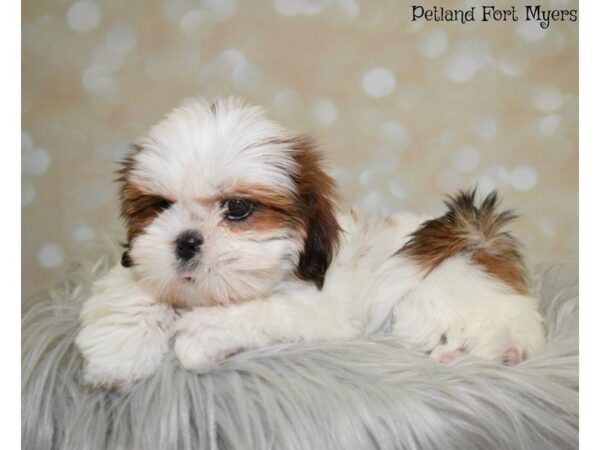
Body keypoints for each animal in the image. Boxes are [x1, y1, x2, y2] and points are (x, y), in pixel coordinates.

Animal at [74, 97, 544, 386]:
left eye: (238, 208)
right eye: (160, 205)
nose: (186, 242)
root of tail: (483, 239)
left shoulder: (318, 311)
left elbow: (253, 312)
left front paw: (198, 338)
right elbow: (128, 293)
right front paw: (118, 357)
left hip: (433, 295)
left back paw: (477, 353)